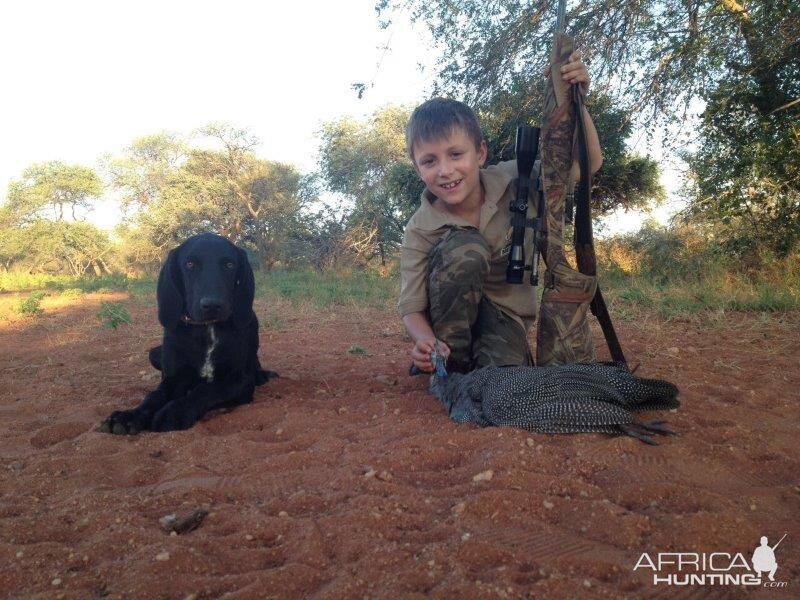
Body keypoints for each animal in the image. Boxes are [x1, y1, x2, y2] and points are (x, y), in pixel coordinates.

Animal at [101, 232, 276, 434]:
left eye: (229, 265)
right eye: (190, 264)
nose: (212, 305)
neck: (207, 329)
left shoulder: (240, 380)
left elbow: (207, 390)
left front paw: (173, 413)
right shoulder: (173, 379)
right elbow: (153, 397)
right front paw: (129, 416)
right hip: (154, 353)